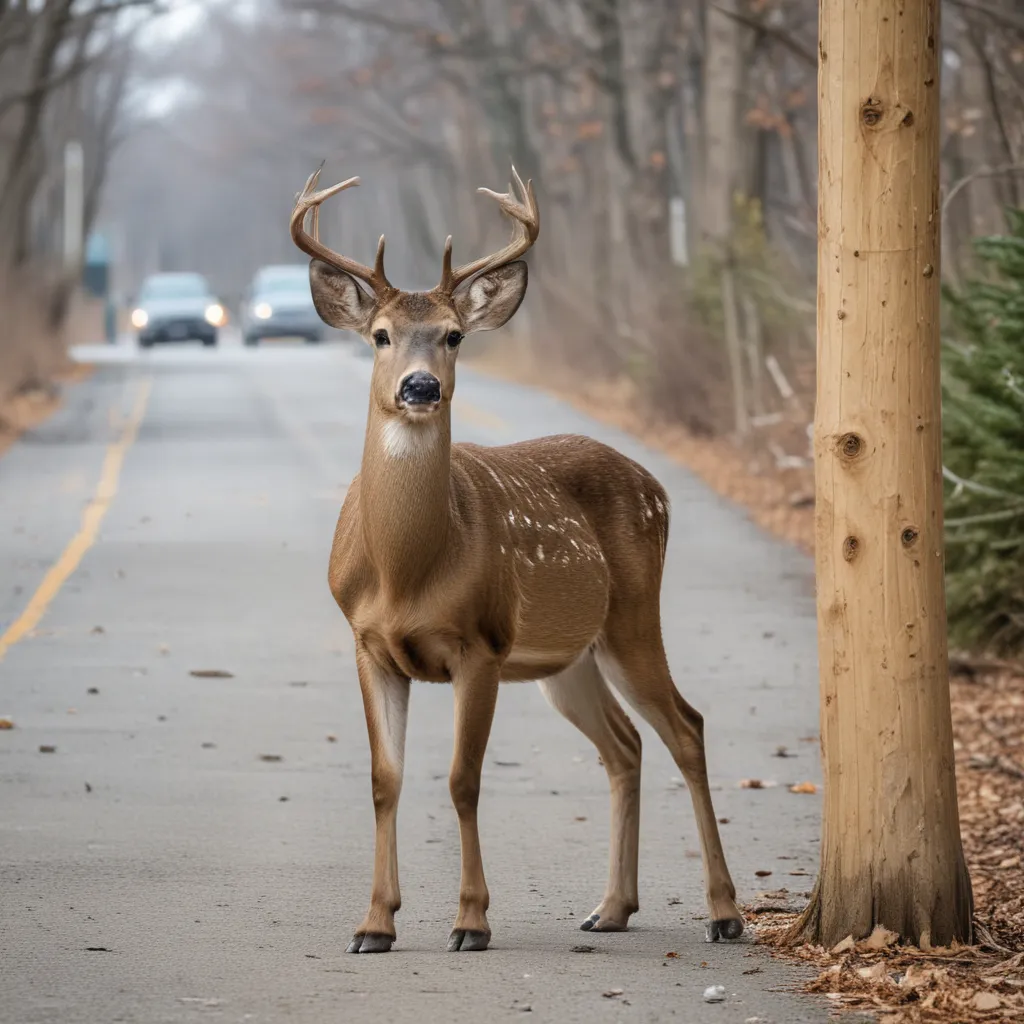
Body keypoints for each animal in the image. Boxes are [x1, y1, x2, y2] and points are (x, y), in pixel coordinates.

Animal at [290, 163, 745, 954]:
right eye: (380, 336)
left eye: (453, 336)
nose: (420, 386)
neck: (406, 573)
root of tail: (653, 484)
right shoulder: (369, 643)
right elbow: (385, 779)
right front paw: (374, 924)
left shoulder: (482, 642)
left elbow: (462, 780)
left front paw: (470, 921)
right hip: (567, 659)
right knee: (625, 744)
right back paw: (610, 908)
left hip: (630, 617)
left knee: (686, 727)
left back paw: (723, 913)